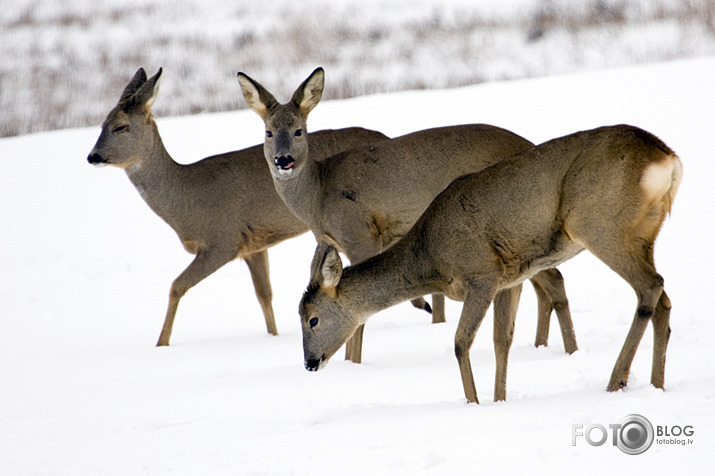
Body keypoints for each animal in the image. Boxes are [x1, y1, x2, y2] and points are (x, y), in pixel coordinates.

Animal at [89, 68, 392, 346]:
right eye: (101, 124)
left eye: (120, 126)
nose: (92, 156)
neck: (185, 198)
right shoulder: (254, 245)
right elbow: (264, 295)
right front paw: (273, 336)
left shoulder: (223, 240)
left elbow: (176, 286)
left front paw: (161, 344)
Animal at [238, 67, 580, 362]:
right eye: (268, 133)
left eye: (299, 131)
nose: (284, 160)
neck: (318, 195)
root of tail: (528, 142)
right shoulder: (330, 239)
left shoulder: (361, 234)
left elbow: (359, 307)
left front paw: (353, 362)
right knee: (544, 281)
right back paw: (543, 346)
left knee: (552, 278)